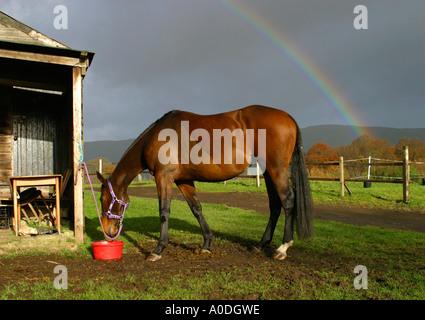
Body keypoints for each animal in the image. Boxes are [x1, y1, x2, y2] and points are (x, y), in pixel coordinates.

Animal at [97, 105, 314, 260]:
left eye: (101, 198)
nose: (108, 230)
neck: (157, 136)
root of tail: (286, 116)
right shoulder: (183, 180)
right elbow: (197, 209)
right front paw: (207, 245)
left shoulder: (164, 177)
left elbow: (164, 212)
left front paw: (158, 249)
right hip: (268, 172)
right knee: (275, 205)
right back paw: (261, 245)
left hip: (277, 170)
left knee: (288, 201)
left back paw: (282, 248)